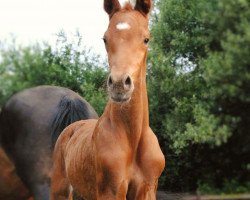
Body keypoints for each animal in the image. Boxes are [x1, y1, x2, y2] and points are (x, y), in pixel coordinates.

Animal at [49, 0, 165, 199]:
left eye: (146, 39)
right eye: (105, 39)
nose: (119, 84)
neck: (132, 140)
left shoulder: (147, 189)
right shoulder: (110, 190)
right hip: (60, 190)